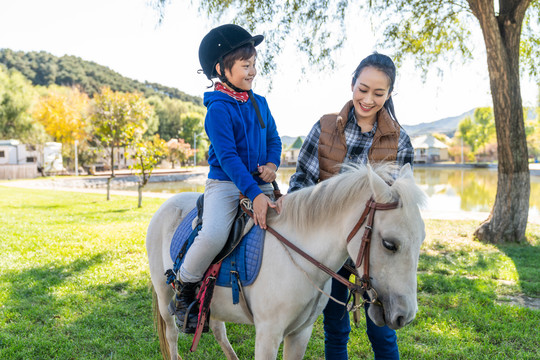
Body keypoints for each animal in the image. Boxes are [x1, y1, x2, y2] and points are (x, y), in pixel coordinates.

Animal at [147, 164, 426, 360]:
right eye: (389, 244)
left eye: (422, 239)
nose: (405, 315)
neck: (300, 261)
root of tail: (168, 203)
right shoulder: (268, 335)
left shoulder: (300, 333)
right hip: (164, 295)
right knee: (172, 334)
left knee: (217, 329)